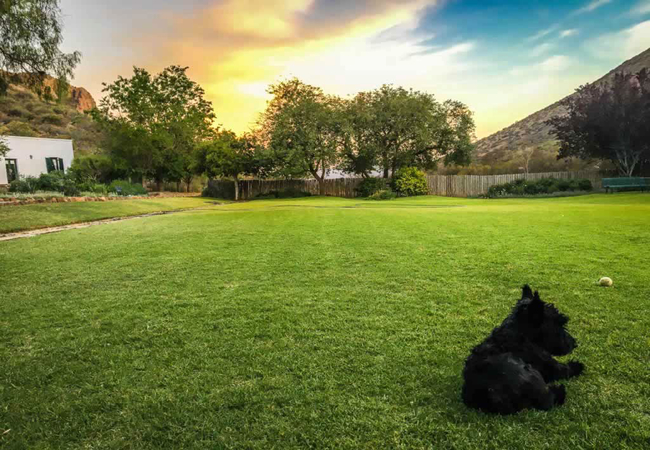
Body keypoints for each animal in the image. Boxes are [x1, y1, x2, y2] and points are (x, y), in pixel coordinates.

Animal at [460, 284, 584, 414]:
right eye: (559, 324)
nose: (574, 344)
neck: (518, 332)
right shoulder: (549, 364)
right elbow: (564, 369)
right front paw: (577, 365)